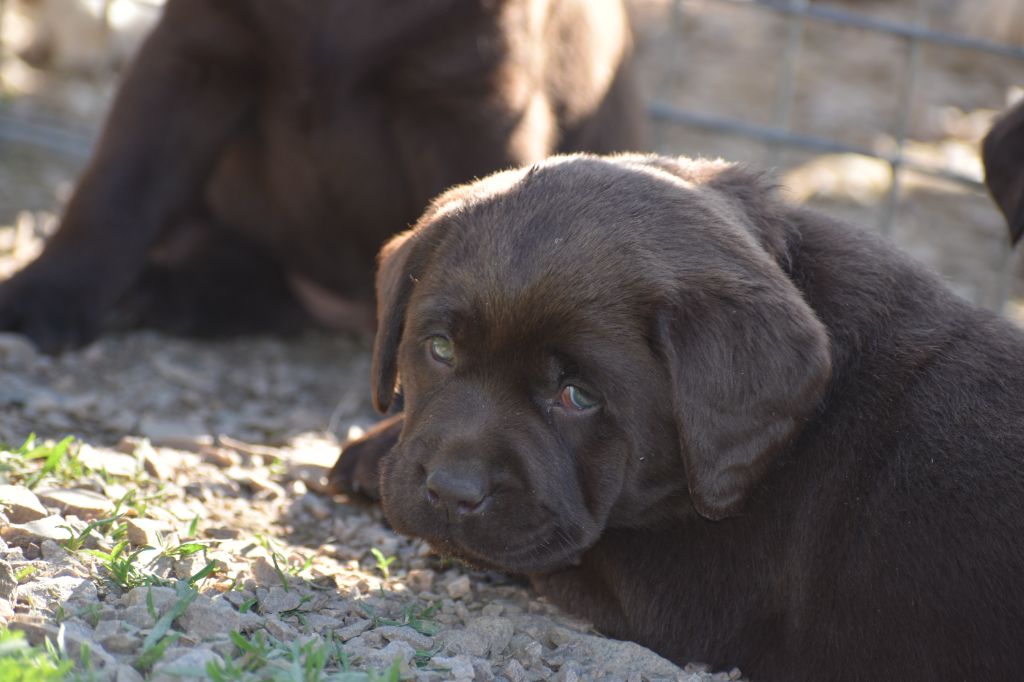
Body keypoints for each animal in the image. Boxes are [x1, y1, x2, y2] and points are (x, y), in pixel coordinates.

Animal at [329, 153, 1024, 681]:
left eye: (579, 396)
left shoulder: (679, 594)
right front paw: (372, 449)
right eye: (441, 349)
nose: (451, 492)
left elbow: (566, 552)